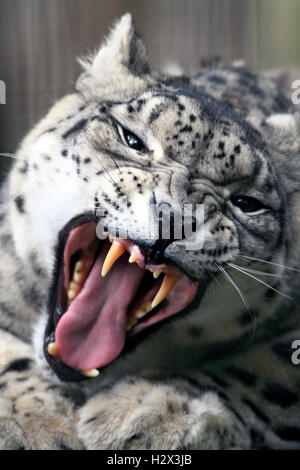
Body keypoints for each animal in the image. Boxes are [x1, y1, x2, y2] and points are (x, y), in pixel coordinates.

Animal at [0, 12, 300, 450]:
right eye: (132, 139)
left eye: (247, 202)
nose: (174, 218)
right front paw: (34, 422)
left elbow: (265, 371)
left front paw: (148, 413)